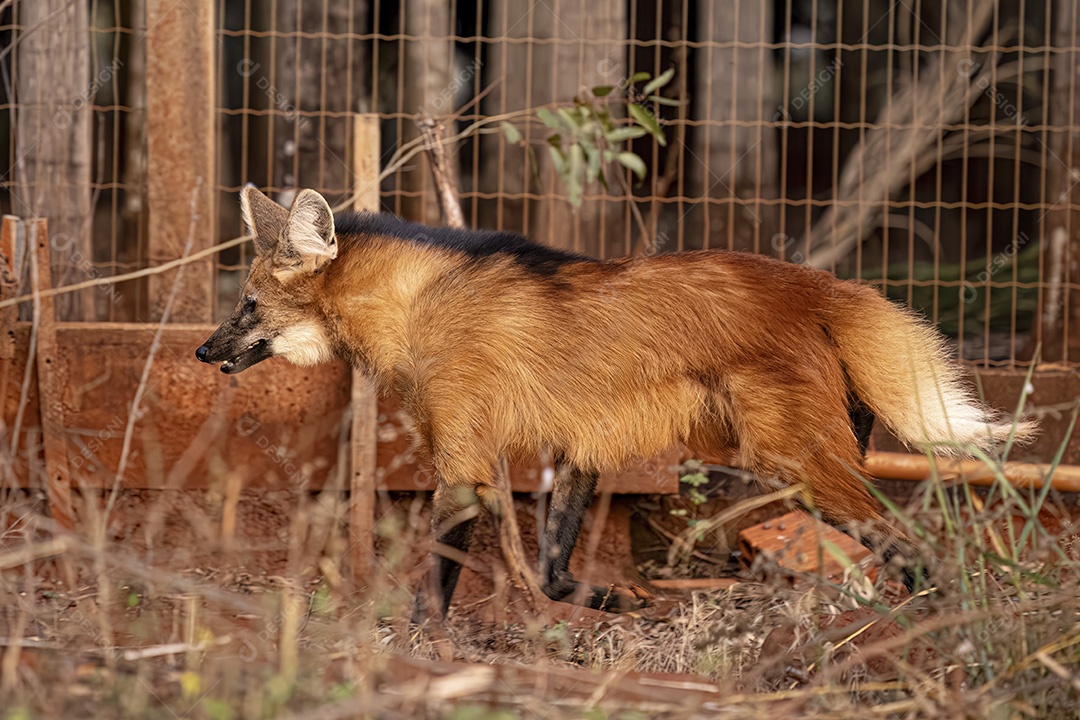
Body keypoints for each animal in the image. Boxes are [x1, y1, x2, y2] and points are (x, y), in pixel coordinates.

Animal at [197, 186, 1036, 619]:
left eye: (246, 305)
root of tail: (818, 281)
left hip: (789, 459)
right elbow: (551, 571)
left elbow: (437, 584)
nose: (202, 352)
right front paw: (615, 601)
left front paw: (414, 654)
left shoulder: (463, 459)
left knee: (912, 538)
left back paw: (926, 626)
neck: (416, 306)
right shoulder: (577, 445)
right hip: (821, 440)